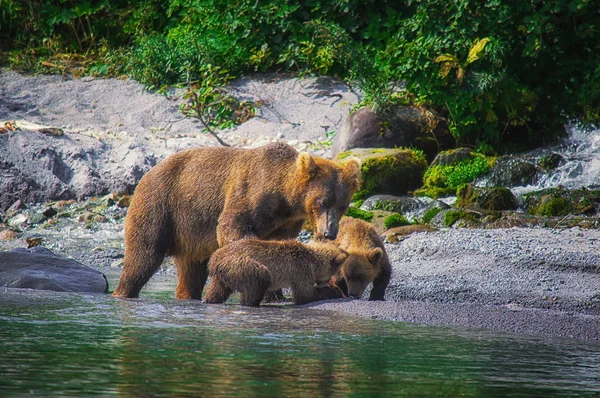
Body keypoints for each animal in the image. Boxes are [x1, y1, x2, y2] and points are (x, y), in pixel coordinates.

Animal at [113, 143, 360, 298]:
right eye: (322, 202)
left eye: (343, 205)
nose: (329, 233)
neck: (286, 200)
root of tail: (147, 173)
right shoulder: (252, 192)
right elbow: (232, 226)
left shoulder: (285, 223)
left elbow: (280, 244)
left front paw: (276, 292)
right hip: (161, 206)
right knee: (143, 256)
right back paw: (123, 291)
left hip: (190, 233)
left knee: (191, 270)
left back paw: (187, 294)